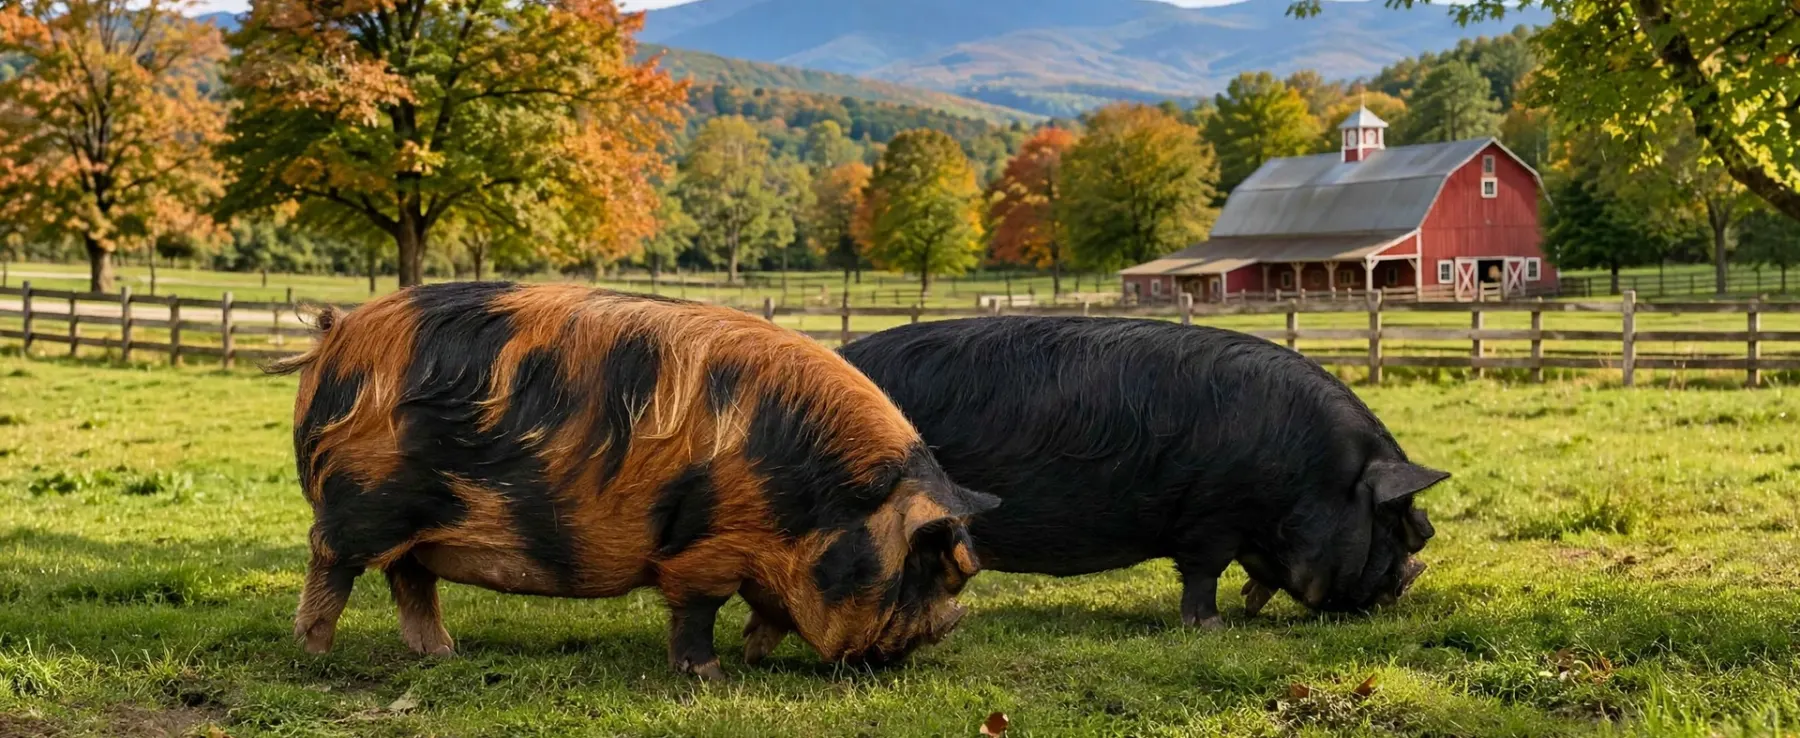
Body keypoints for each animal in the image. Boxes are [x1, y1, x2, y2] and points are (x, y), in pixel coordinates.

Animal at [270, 282, 997, 679]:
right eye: (921, 566)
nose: (917, 645)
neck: (815, 501)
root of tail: (337, 334)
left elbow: (768, 613)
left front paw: (754, 657)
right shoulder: (706, 547)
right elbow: (698, 609)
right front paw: (710, 676)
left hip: (412, 525)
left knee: (410, 579)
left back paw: (443, 655)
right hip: (361, 504)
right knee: (331, 564)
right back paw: (315, 654)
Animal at [838, 316, 1445, 627]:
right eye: (1397, 521)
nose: (1408, 581)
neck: (1312, 473)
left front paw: (1250, 603)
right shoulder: (1211, 516)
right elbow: (1202, 574)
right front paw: (1212, 626)